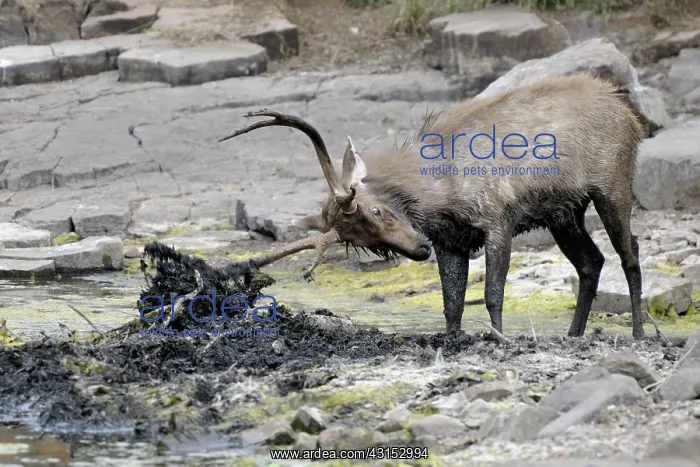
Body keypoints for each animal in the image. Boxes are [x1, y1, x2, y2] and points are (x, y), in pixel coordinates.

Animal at [218, 73, 647, 339]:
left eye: (376, 210)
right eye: (362, 242)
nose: (417, 248)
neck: (440, 196)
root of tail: (630, 114)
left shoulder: (498, 219)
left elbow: (492, 293)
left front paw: (500, 338)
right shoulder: (451, 241)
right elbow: (451, 304)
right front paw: (454, 338)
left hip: (612, 185)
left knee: (629, 251)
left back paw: (640, 333)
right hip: (563, 212)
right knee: (592, 261)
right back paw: (574, 334)